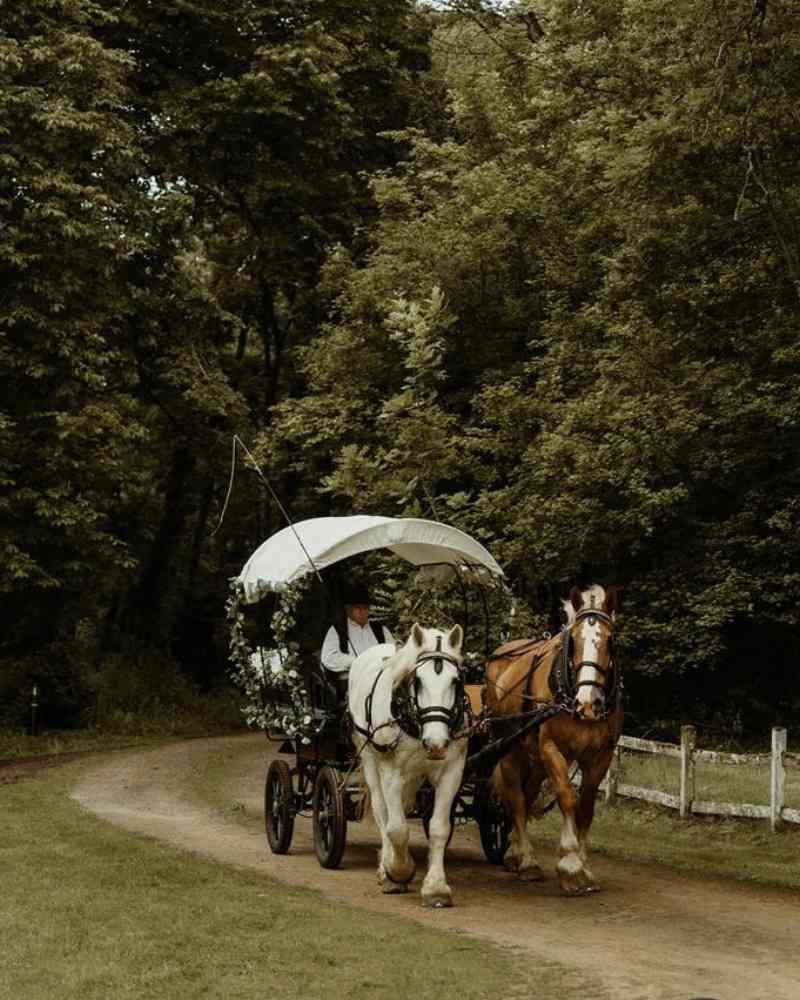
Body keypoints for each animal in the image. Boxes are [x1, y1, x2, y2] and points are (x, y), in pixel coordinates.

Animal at [349, 622, 466, 908]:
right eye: (418, 680)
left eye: (455, 681)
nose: (436, 743)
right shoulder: (392, 771)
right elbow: (397, 828)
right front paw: (398, 871)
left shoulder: (452, 770)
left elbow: (439, 828)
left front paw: (436, 888)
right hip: (371, 760)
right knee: (382, 812)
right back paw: (386, 866)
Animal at [484, 583, 622, 894]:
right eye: (574, 641)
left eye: (609, 640)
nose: (588, 703)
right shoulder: (552, 748)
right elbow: (567, 798)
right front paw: (570, 864)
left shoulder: (601, 756)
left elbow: (586, 808)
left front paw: (584, 866)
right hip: (509, 748)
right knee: (517, 799)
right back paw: (527, 861)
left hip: (534, 759)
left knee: (526, 796)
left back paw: (515, 853)